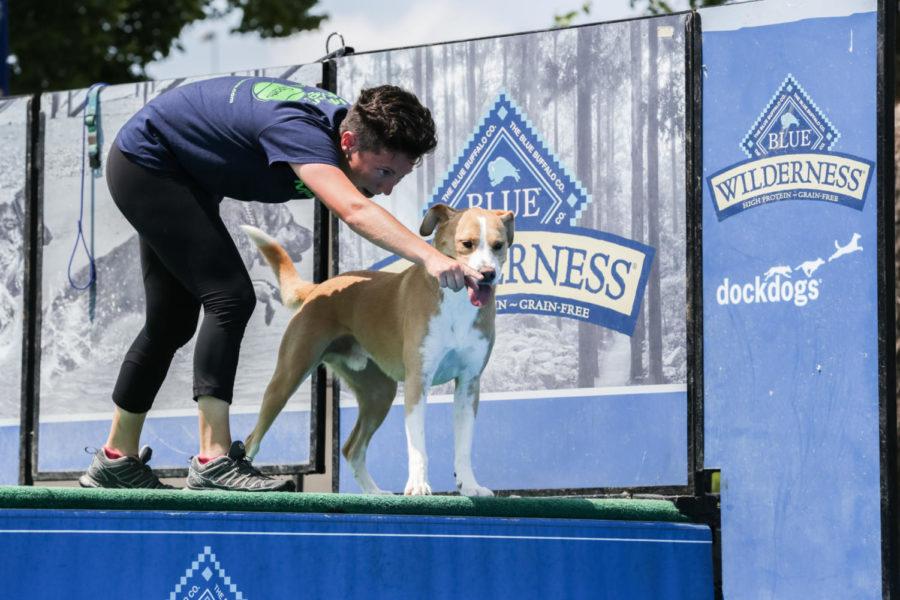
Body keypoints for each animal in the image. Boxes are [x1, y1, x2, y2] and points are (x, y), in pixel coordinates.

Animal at [241, 206, 512, 496]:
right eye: (467, 244)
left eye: (498, 245)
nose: (488, 274)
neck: (456, 302)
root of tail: (318, 288)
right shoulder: (418, 381)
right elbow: (418, 445)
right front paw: (418, 486)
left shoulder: (469, 384)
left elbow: (463, 446)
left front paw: (470, 485)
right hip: (288, 376)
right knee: (252, 437)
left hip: (379, 393)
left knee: (351, 448)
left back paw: (375, 493)